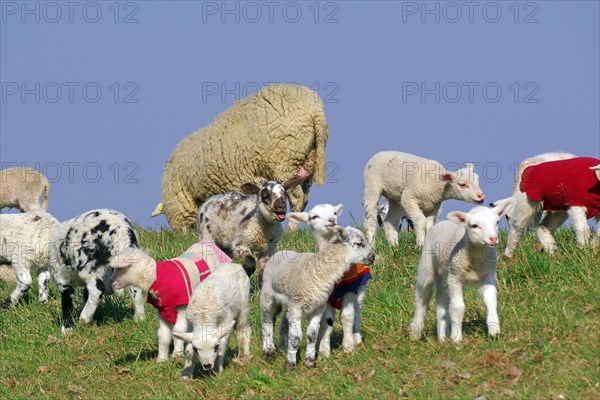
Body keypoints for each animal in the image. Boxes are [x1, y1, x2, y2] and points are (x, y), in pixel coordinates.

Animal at [150, 84, 328, 231]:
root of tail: (314, 109)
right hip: (306, 165)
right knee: (304, 198)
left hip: (285, 162)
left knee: (298, 198)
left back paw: (291, 230)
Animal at [262, 227, 376, 368]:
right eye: (359, 243)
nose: (373, 257)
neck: (317, 271)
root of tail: (279, 252)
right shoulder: (297, 306)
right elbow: (296, 336)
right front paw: (291, 364)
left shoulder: (318, 307)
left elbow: (313, 335)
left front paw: (310, 362)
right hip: (268, 295)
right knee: (267, 320)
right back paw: (269, 349)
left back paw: (283, 347)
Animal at [286, 205, 370, 354]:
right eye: (314, 216)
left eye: (334, 212)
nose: (332, 220)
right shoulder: (325, 295)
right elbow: (327, 321)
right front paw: (324, 350)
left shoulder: (349, 290)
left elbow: (347, 317)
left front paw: (348, 346)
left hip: (360, 289)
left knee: (357, 312)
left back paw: (357, 338)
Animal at [410, 203, 512, 344]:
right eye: (474, 225)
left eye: (497, 222)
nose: (493, 239)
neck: (475, 255)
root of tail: (443, 222)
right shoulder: (455, 278)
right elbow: (458, 307)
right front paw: (456, 337)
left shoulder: (488, 275)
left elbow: (490, 300)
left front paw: (494, 329)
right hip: (427, 267)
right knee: (422, 298)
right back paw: (416, 332)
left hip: (446, 277)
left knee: (442, 300)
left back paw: (442, 337)